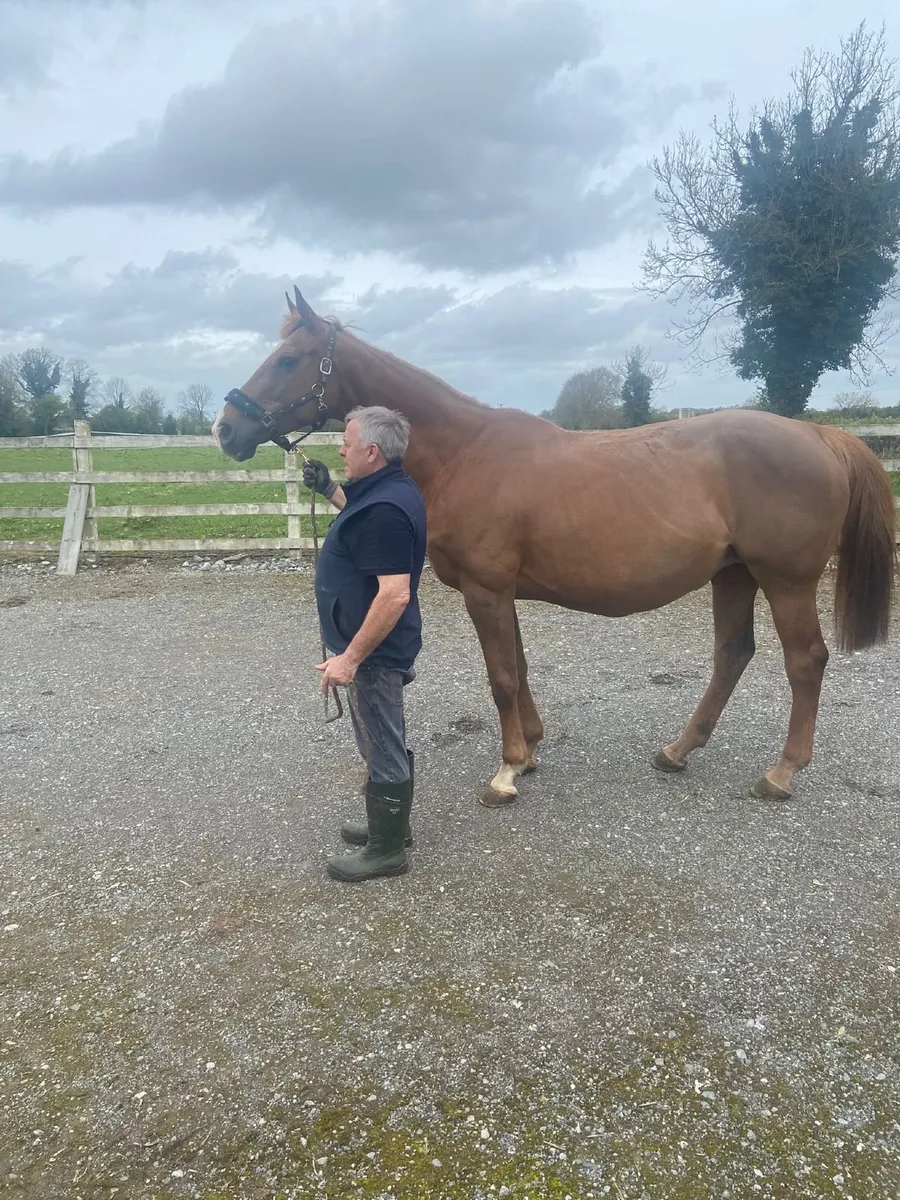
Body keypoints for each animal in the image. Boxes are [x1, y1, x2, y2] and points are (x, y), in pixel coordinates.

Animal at [212, 285, 896, 807]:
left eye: (290, 359)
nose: (226, 428)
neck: (465, 453)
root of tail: (819, 434)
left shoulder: (487, 591)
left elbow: (501, 678)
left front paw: (506, 772)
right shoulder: (502, 592)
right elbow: (517, 669)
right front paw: (531, 751)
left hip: (785, 579)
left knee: (805, 662)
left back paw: (781, 773)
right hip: (733, 574)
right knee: (733, 655)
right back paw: (677, 751)